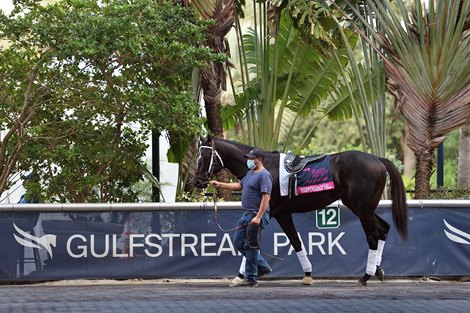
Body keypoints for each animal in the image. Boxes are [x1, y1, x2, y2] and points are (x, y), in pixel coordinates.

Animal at [194, 136, 408, 286]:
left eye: (204, 157)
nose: (197, 181)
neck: (263, 167)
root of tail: (377, 159)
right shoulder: (274, 214)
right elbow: (289, 242)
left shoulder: (275, 213)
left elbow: (274, 242)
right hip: (365, 208)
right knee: (383, 229)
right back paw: (378, 270)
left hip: (362, 209)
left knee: (373, 236)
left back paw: (365, 276)